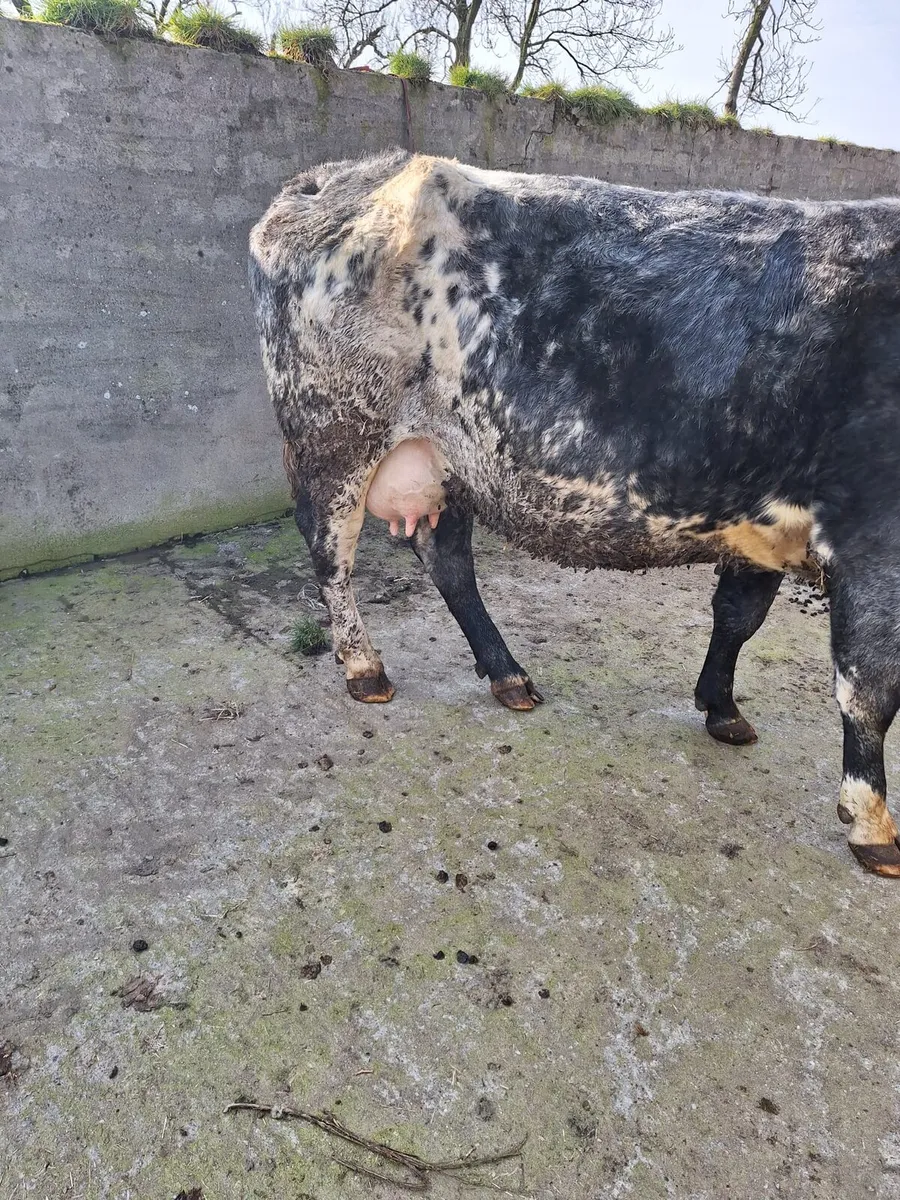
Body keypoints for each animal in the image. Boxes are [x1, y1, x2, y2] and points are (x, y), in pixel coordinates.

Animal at [249, 149, 900, 878]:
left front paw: (722, 706)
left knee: (447, 561)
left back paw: (507, 675)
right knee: (329, 548)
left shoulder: (763, 518)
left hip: (448, 459)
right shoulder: (874, 538)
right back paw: (365, 668)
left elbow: (739, 616)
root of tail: (328, 178)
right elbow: (871, 684)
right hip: (333, 434)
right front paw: (873, 821)